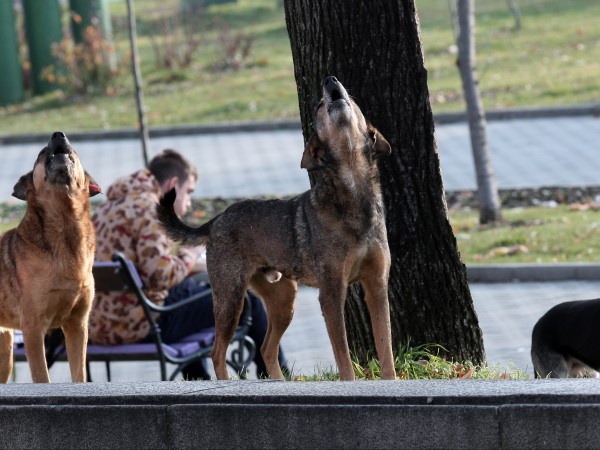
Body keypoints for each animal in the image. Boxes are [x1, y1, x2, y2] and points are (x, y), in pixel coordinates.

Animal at [0, 132, 101, 382]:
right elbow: (42, 377)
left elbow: (79, 374)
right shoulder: (33, 329)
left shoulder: (77, 324)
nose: (58, 134)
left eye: (74, 150)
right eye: (41, 153)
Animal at [157, 76, 396, 380]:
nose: (330, 80)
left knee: (266, 348)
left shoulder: (377, 286)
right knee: (217, 351)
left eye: (353, 101)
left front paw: (391, 380)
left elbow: (386, 348)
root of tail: (219, 217)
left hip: (283, 300)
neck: (354, 197)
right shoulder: (331, 294)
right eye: (319, 106)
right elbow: (343, 357)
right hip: (231, 299)